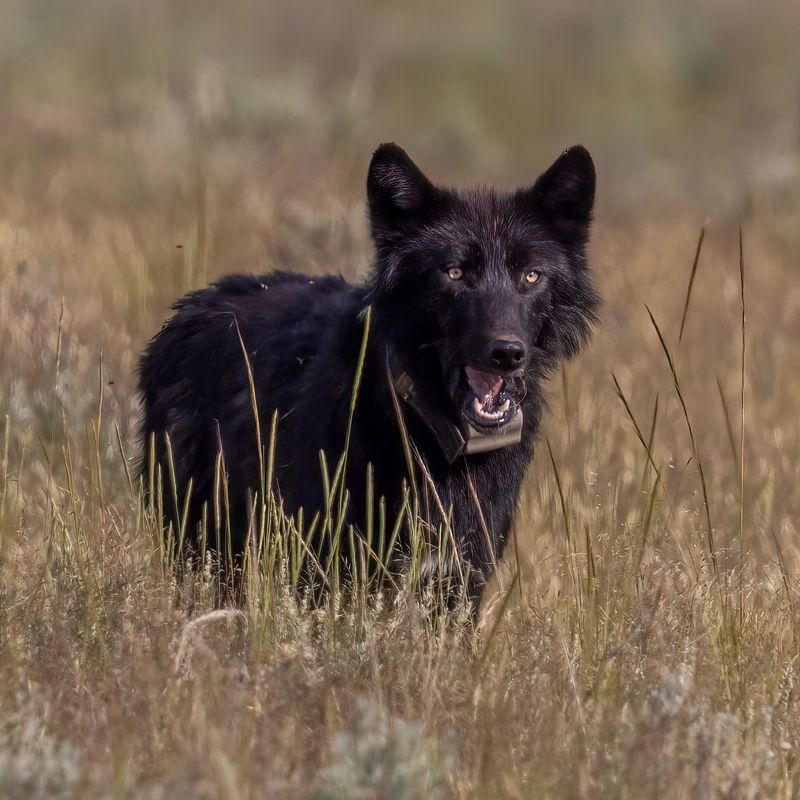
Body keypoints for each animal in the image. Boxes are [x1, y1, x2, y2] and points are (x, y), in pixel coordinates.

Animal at [139, 142, 600, 600]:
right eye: (454, 273)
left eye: (531, 276)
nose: (507, 353)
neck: (426, 432)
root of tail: (192, 307)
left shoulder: (460, 580)